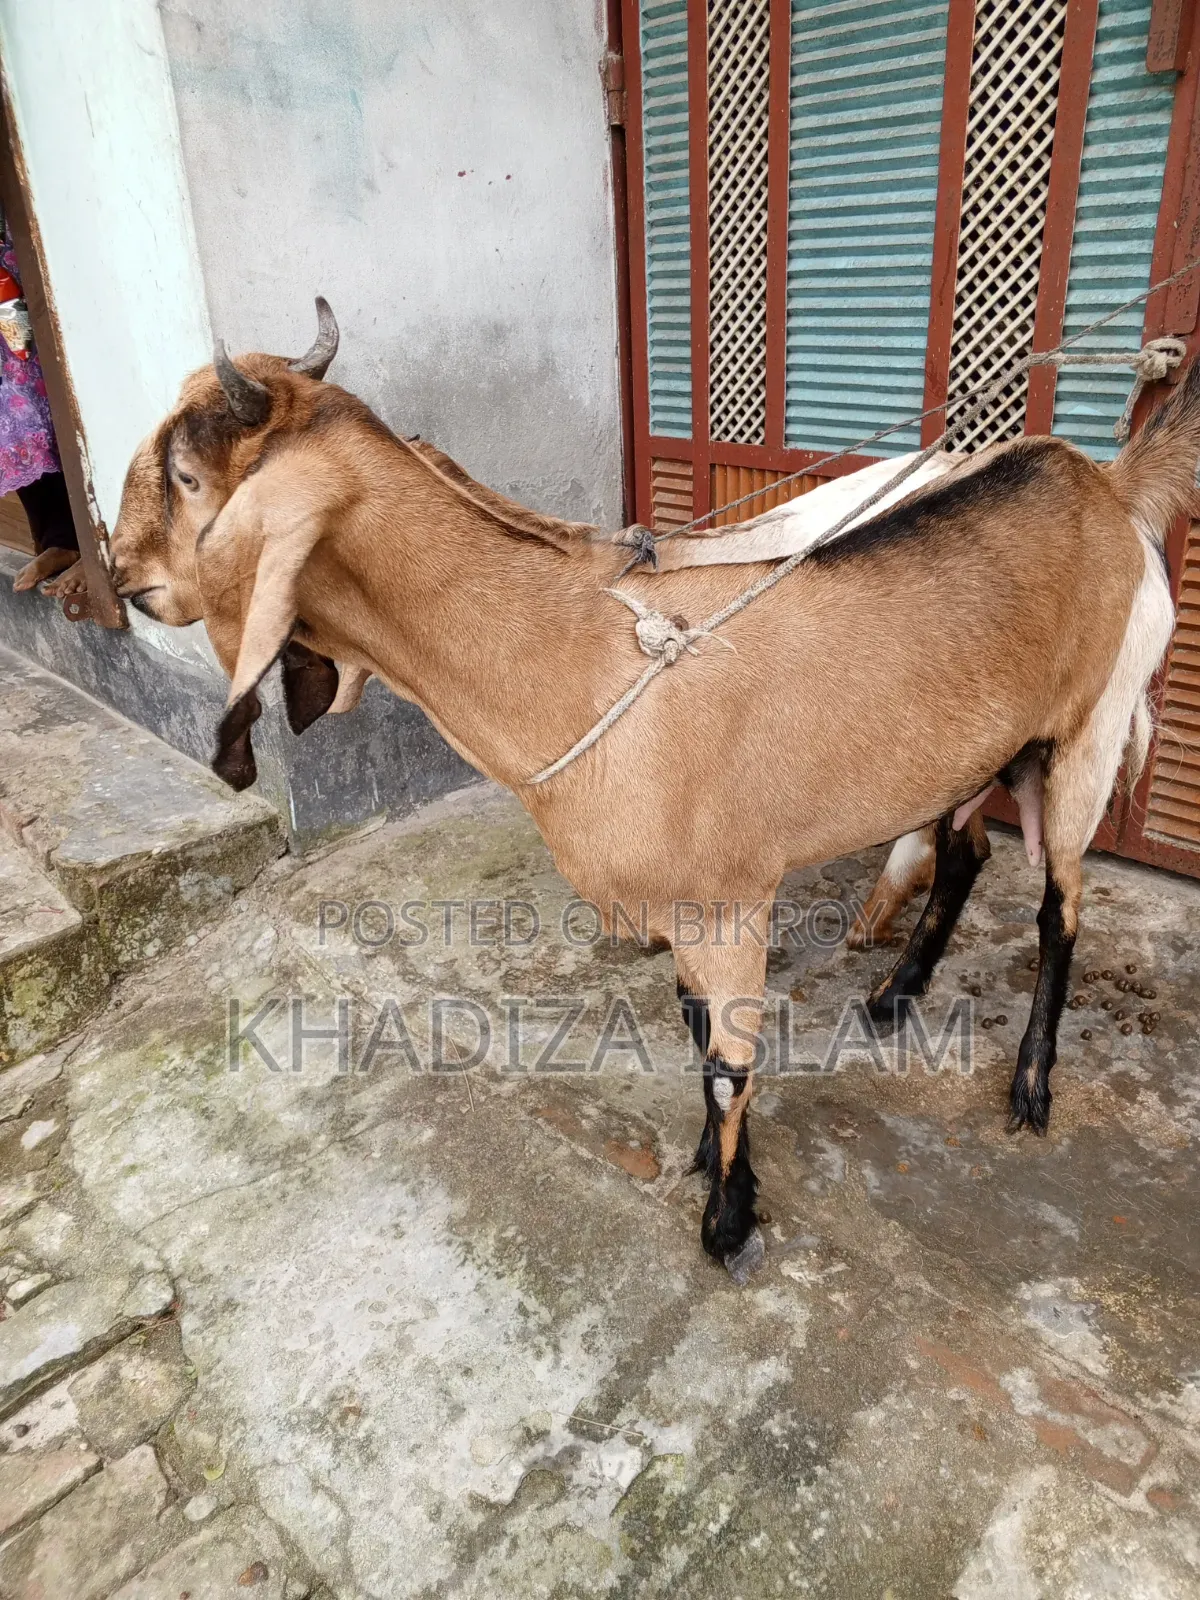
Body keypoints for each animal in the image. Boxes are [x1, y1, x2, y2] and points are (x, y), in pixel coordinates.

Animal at [108, 302, 1186, 1276]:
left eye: (188, 477)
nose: (119, 574)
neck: (580, 656)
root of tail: (1100, 481)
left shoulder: (727, 901)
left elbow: (726, 1068)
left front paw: (729, 1224)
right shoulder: (674, 907)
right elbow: (698, 1034)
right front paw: (719, 1173)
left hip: (1088, 732)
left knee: (1060, 908)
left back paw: (1031, 1084)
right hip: (975, 749)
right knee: (966, 850)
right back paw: (894, 995)